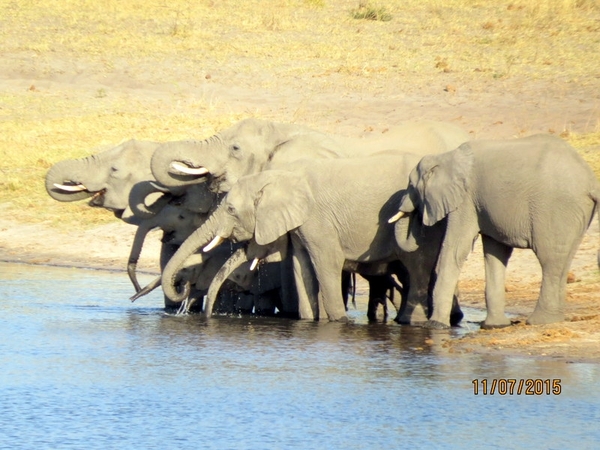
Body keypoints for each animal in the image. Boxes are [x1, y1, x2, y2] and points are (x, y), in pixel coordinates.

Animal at [158, 155, 460, 324]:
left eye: (230, 209)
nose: (183, 293)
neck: (277, 176)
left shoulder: (318, 218)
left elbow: (326, 263)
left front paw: (337, 321)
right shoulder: (301, 225)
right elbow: (300, 266)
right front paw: (309, 321)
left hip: (426, 220)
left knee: (417, 267)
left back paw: (414, 321)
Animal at [390, 133, 600, 326]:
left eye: (411, 185)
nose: (417, 219)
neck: (445, 156)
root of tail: (590, 181)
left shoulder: (466, 199)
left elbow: (455, 252)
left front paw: (436, 325)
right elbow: (495, 254)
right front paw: (495, 325)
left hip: (554, 209)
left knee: (550, 259)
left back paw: (539, 321)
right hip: (574, 214)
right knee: (562, 261)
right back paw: (551, 319)